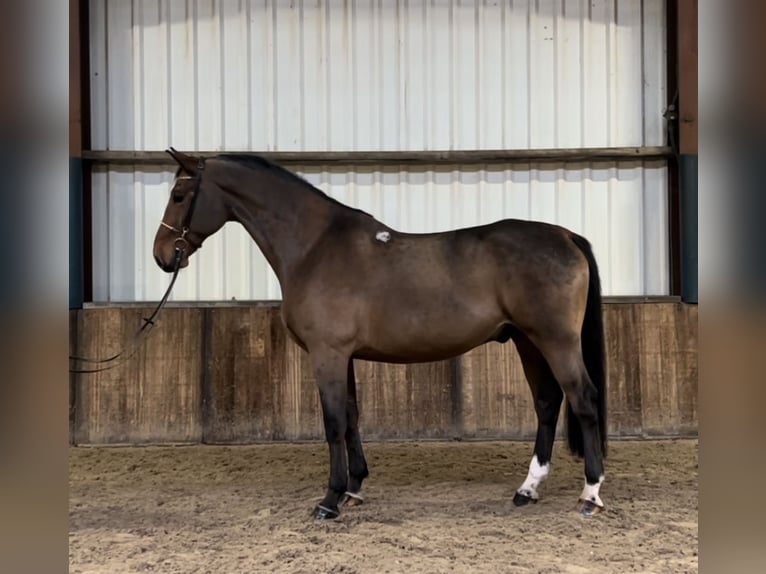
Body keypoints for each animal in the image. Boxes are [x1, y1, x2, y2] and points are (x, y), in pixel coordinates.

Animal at [154, 148, 612, 520]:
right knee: (548, 402)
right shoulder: (343, 356)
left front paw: (329, 501)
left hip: (555, 340)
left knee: (583, 400)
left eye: (179, 196)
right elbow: (352, 417)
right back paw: (527, 490)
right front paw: (354, 488)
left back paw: (590, 495)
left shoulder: (328, 354)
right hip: (527, 340)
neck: (315, 247)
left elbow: (334, 422)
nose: (162, 256)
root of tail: (566, 235)